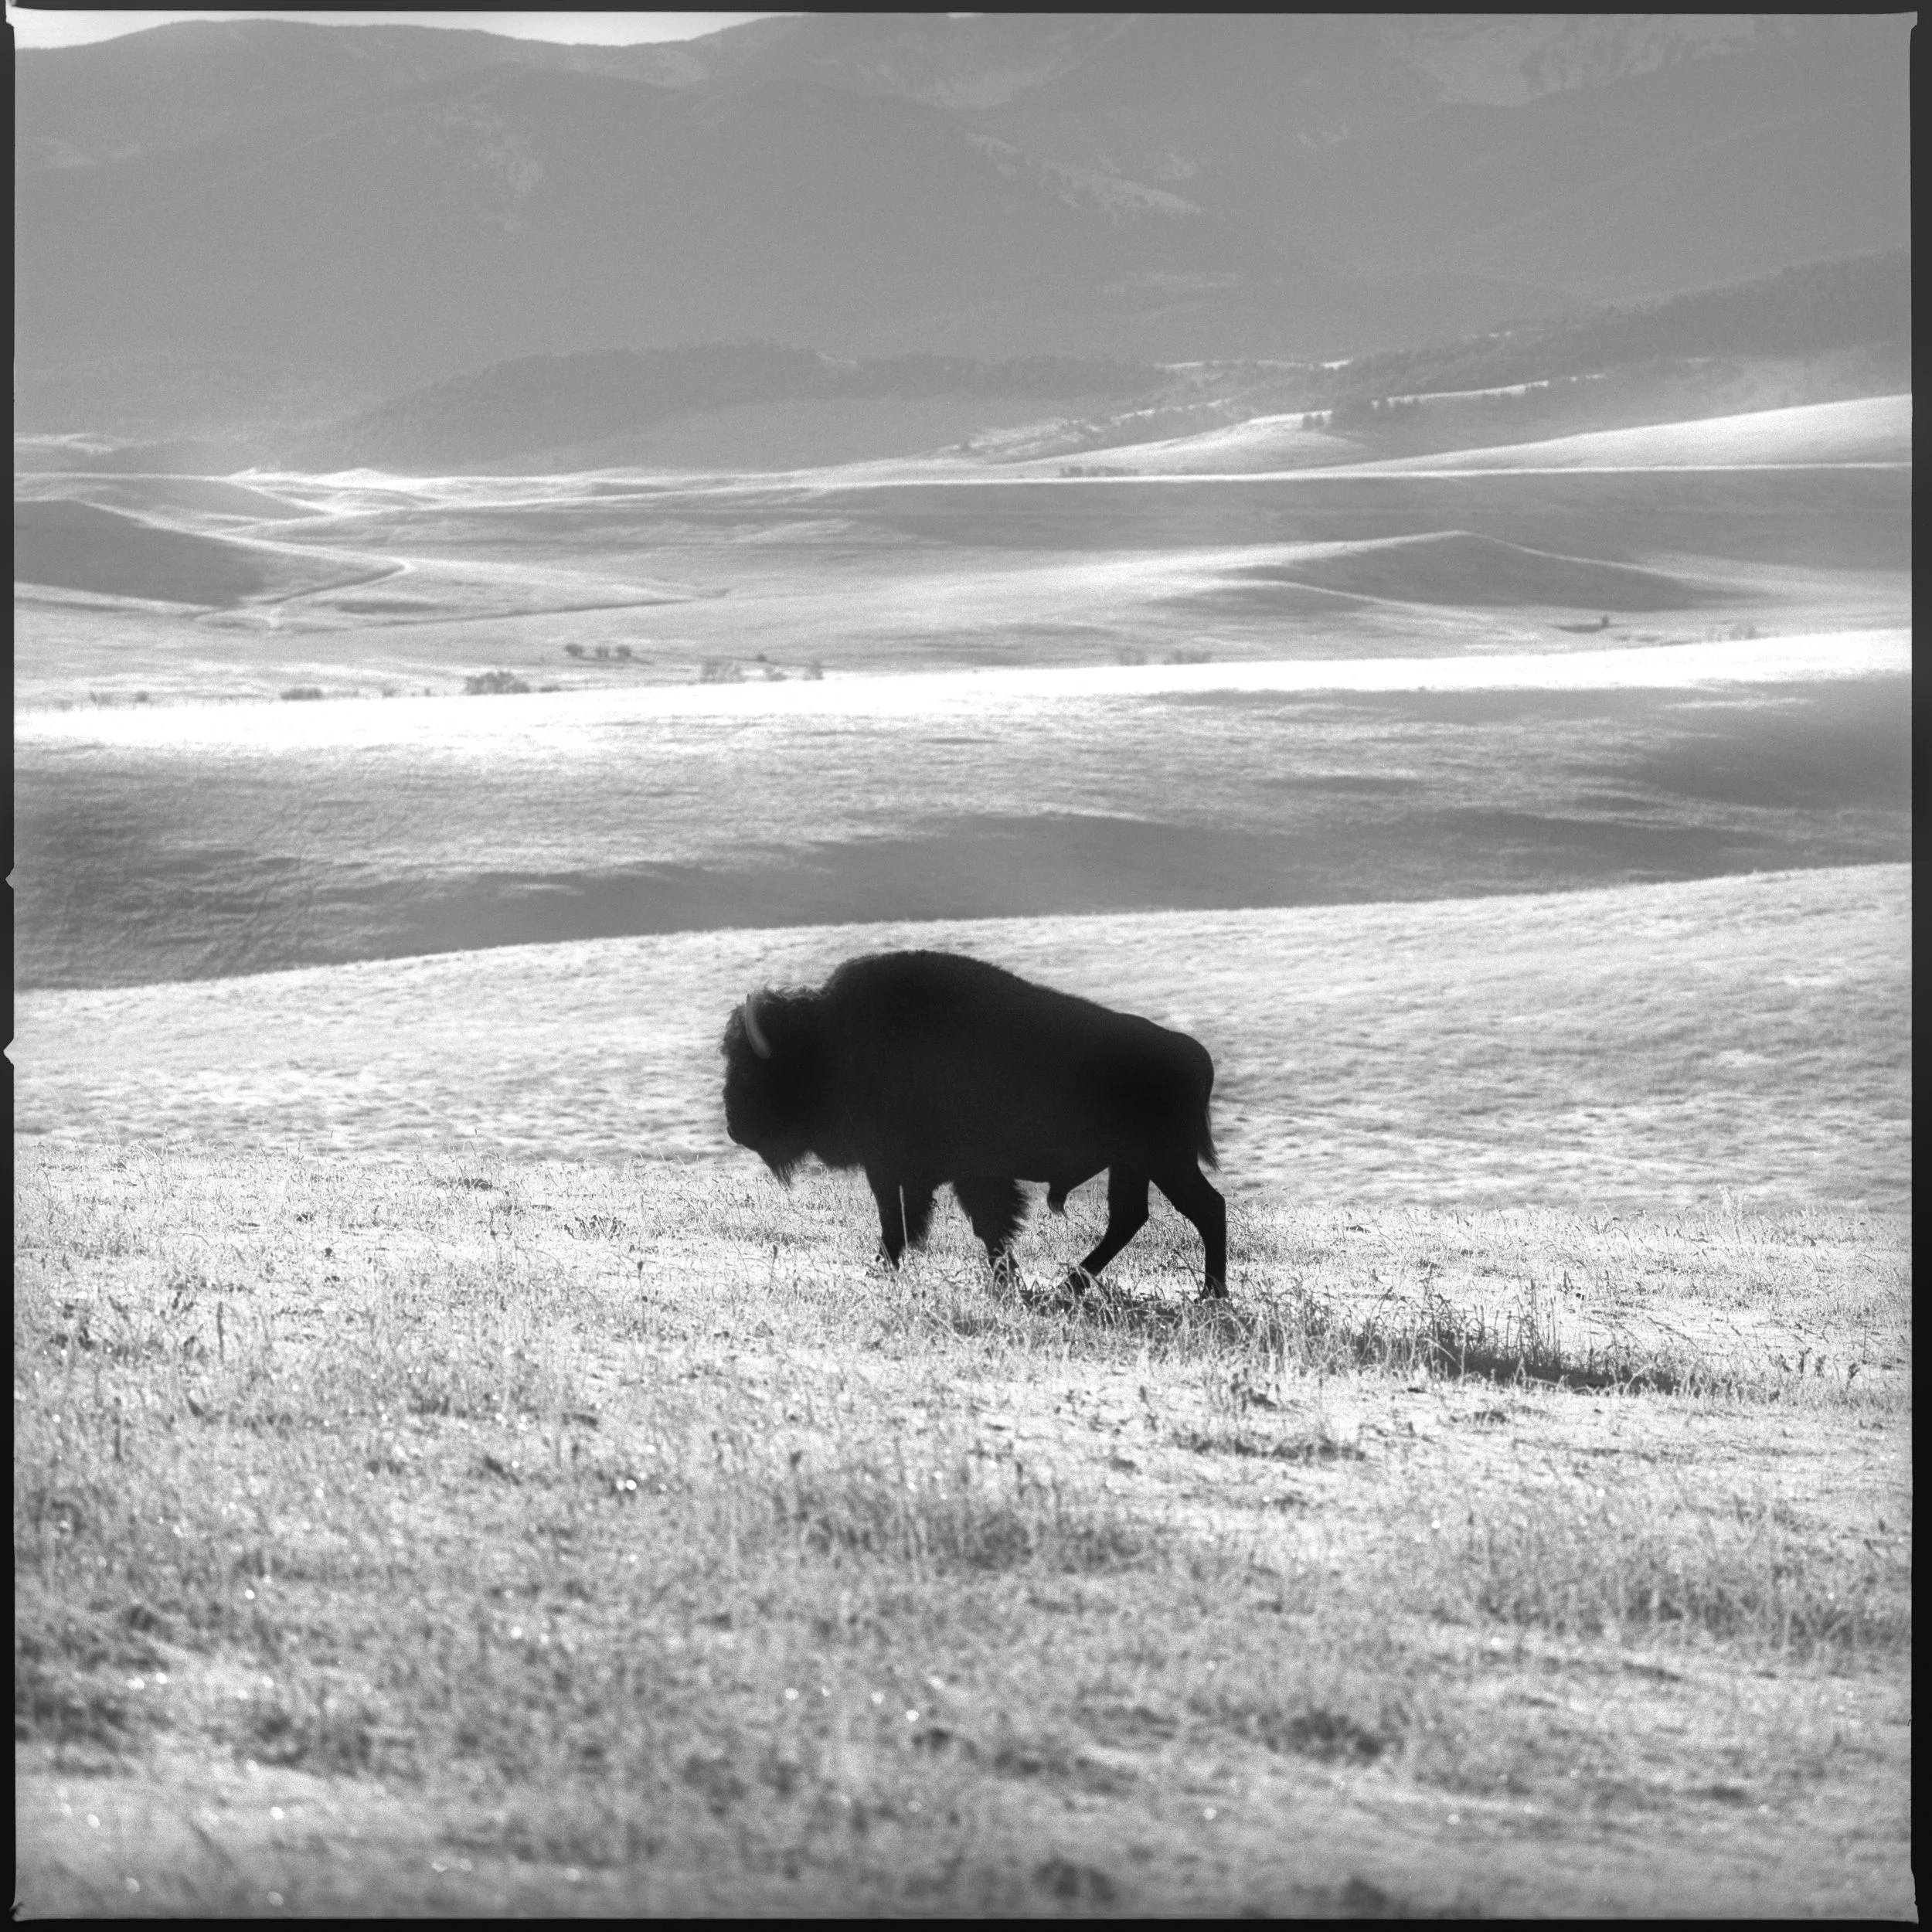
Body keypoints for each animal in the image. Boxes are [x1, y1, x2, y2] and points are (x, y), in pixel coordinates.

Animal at [720, 949, 1227, 1297]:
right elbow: (979, 1226)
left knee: (1206, 1208)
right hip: (1134, 1164)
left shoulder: (898, 1169)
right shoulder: (955, 1174)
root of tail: (1192, 1053)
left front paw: (883, 1270)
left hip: (1165, 1160)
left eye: (747, 1070)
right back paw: (1071, 1285)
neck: (825, 1042)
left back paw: (1209, 1294)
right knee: (1130, 1217)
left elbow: (910, 1223)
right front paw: (1005, 1281)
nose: (734, 1127)